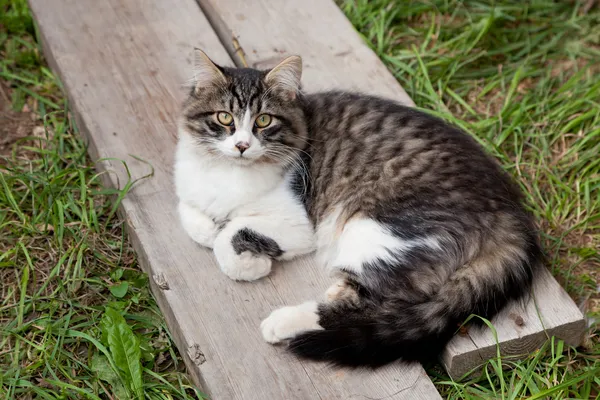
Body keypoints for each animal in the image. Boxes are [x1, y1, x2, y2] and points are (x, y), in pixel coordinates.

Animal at [175, 50, 544, 368]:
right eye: (224, 118)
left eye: (263, 121)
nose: (241, 145)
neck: (227, 174)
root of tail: (508, 213)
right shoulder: (188, 184)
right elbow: (191, 213)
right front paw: (210, 227)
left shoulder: (298, 222)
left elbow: (229, 236)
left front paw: (250, 262)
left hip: (374, 227)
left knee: (362, 304)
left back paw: (284, 321)